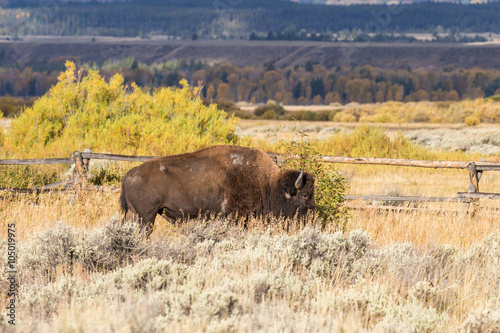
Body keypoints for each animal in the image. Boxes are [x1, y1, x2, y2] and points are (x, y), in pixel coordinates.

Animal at [119, 144, 314, 235]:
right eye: (305, 195)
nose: (311, 217)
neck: (267, 182)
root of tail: (129, 175)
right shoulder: (235, 215)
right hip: (147, 217)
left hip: (133, 214)